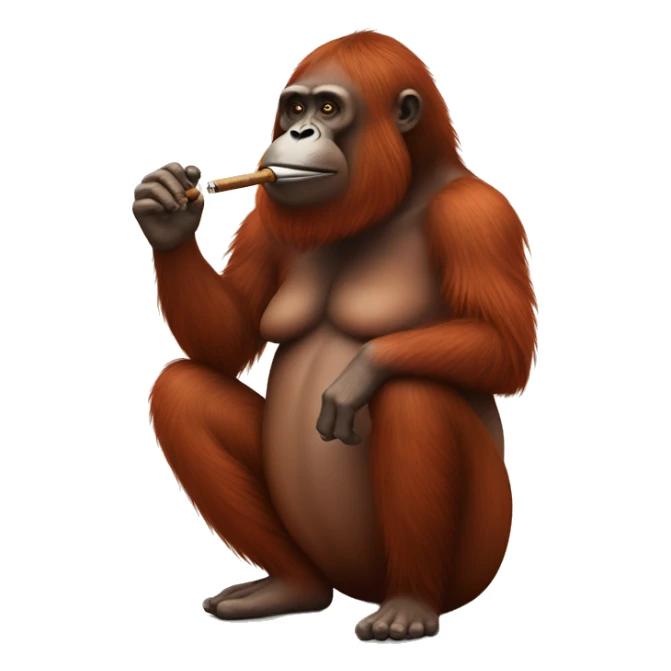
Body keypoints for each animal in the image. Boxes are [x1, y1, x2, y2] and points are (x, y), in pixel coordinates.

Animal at [133, 31, 536, 642]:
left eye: (327, 108)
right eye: (294, 108)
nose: (300, 133)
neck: (401, 192)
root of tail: (354, 591)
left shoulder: (478, 216)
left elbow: (508, 350)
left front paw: (359, 373)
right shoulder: (264, 221)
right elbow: (224, 344)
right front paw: (168, 212)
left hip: (485, 552)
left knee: (412, 391)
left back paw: (409, 605)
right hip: (319, 556)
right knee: (184, 390)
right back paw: (289, 587)